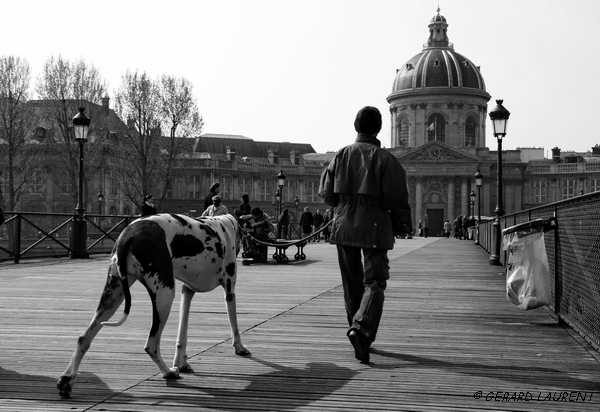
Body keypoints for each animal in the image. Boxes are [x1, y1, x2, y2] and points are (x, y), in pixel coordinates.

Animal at [57, 214, 250, 398]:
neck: (225, 224)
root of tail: (128, 235)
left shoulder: (186, 293)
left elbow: (182, 334)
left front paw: (182, 362)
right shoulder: (229, 290)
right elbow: (234, 324)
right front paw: (240, 347)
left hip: (113, 296)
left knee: (84, 338)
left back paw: (67, 379)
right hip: (164, 296)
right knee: (151, 344)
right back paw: (168, 372)